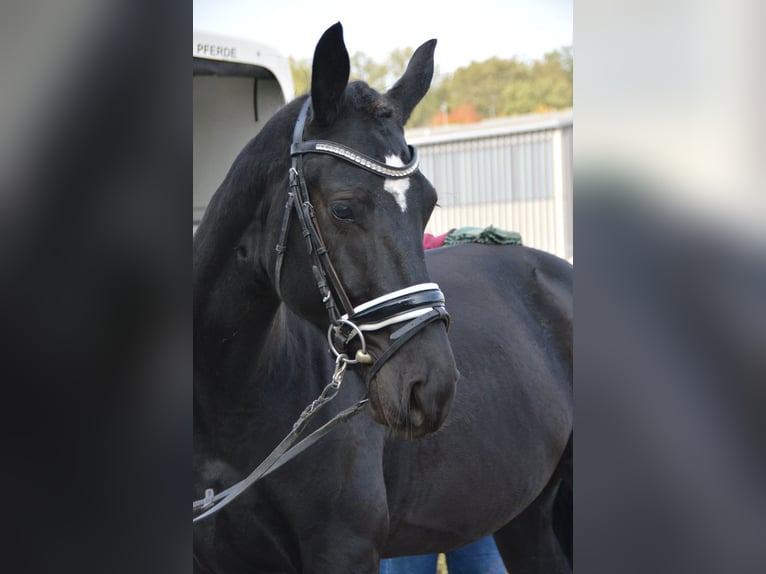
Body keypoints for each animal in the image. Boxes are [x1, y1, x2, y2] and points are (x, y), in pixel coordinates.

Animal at [195, 22, 572, 574]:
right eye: (343, 208)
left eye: (429, 203)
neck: (229, 403)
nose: (429, 386)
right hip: (528, 519)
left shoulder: (345, 549)